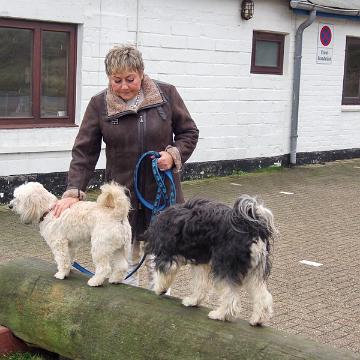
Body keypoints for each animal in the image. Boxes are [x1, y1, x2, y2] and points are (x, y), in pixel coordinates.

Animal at [143, 195, 276, 324]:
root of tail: (251, 226)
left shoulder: (166, 253)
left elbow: (162, 273)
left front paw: (160, 289)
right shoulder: (201, 260)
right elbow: (200, 283)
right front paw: (193, 301)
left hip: (225, 265)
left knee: (230, 296)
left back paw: (220, 314)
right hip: (255, 271)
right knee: (262, 295)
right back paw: (258, 319)